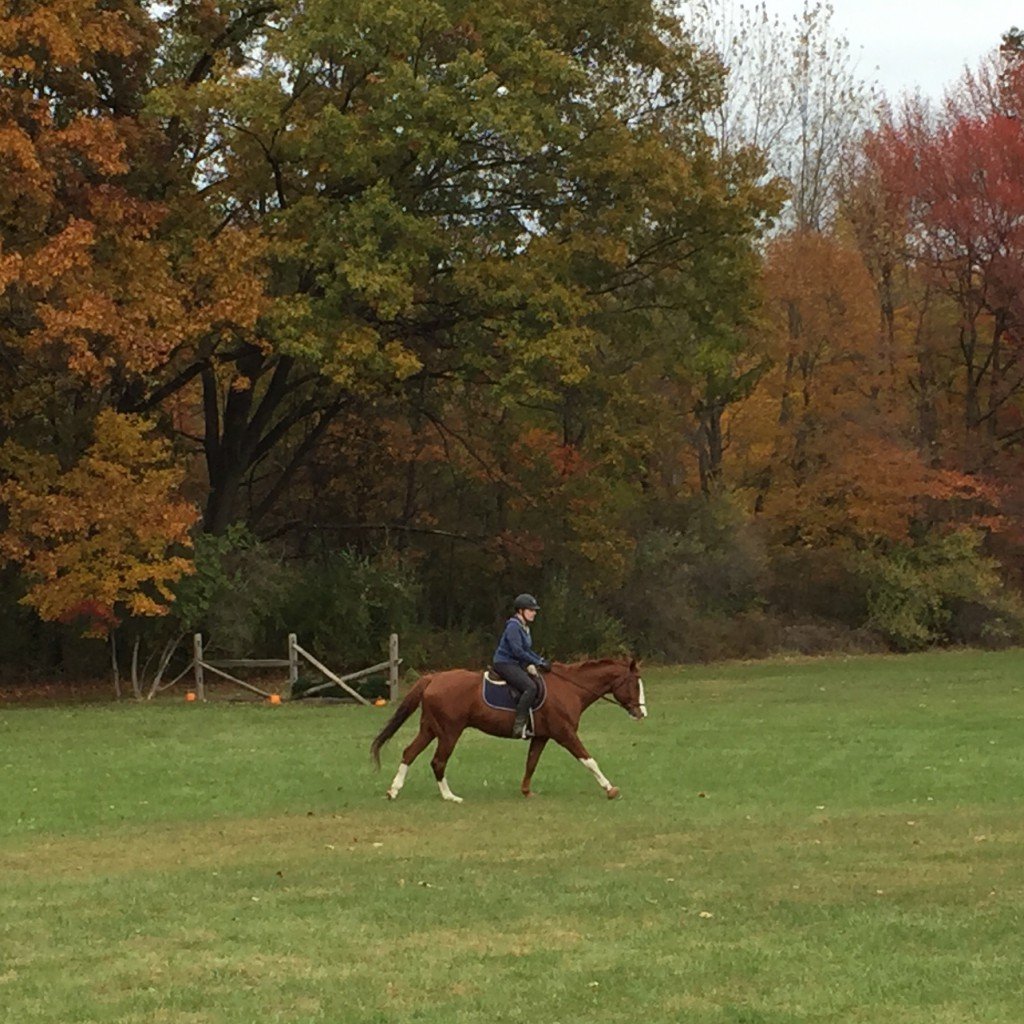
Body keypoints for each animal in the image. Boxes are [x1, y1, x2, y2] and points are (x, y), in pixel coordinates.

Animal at [368, 659, 643, 802]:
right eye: (634, 684)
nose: (642, 713)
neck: (570, 688)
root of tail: (432, 678)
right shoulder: (565, 734)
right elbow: (589, 760)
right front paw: (610, 788)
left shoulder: (542, 736)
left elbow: (531, 762)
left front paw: (526, 791)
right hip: (449, 732)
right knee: (437, 761)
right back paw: (450, 796)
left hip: (430, 729)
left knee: (409, 753)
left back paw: (394, 790)